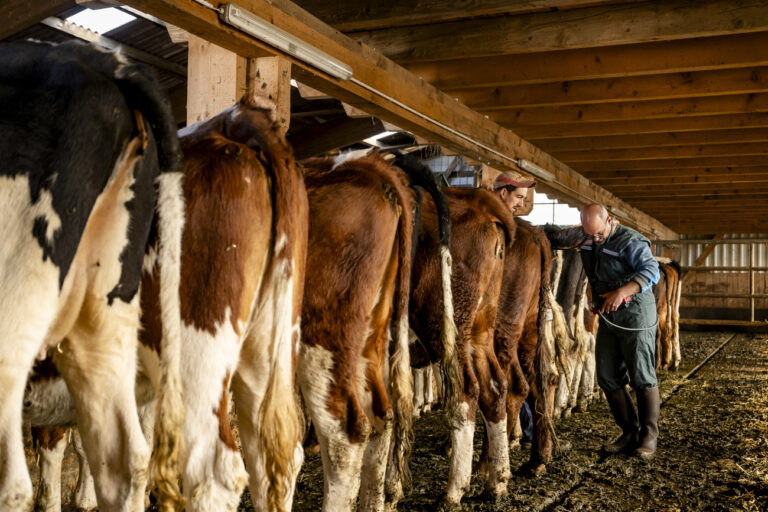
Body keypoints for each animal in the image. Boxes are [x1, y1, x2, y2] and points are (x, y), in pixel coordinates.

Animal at [408, 176, 516, 504]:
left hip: (446, 323)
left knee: (466, 390)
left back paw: (454, 490)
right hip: (480, 328)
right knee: (495, 386)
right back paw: (498, 480)